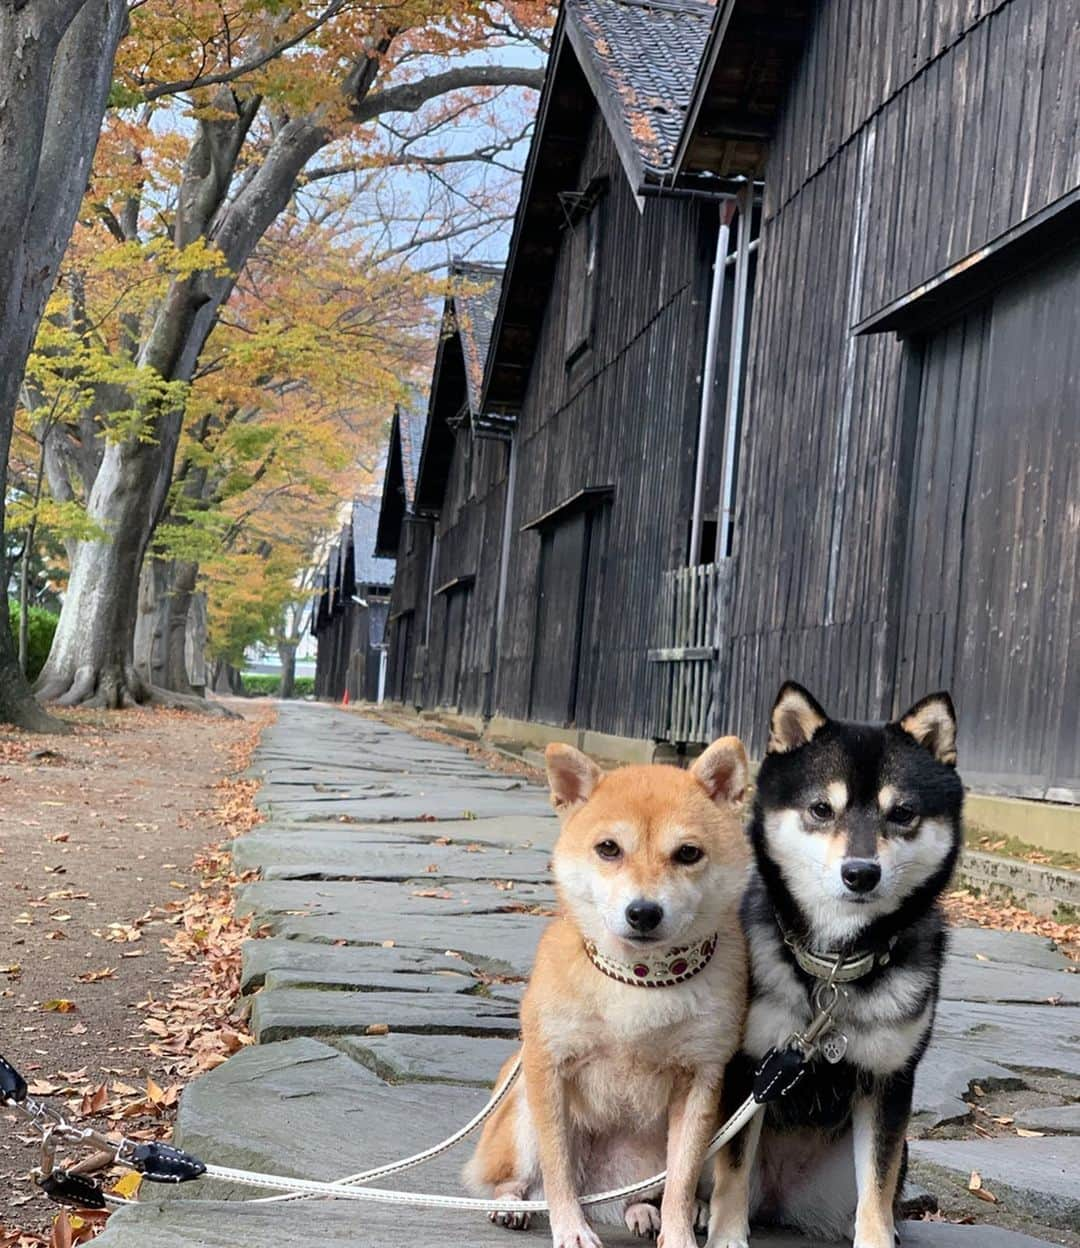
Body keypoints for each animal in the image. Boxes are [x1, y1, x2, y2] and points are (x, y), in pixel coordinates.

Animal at [464, 733, 749, 1248]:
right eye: (609, 848)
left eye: (688, 853)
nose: (644, 911)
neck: (641, 978)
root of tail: (603, 1194)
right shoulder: (549, 1066)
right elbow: (557, 1169)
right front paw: (571, 1230)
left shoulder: (702, 1080)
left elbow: (680, 1181)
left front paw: (679, 1234)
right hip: (521, 1108)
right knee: (521, 1180)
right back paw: (513, 1204)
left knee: (653, 1190)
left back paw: (646, 1212)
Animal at [709, 683, 958, 1248]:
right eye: (821, 809)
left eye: (903, 812)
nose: (861, 873)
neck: (834, 969)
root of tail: (777, 1201)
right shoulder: (749, 1067)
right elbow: (730, 1170)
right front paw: (726, 1236)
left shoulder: (888, 1082)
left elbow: (878, 1184)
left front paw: (877, 1239)